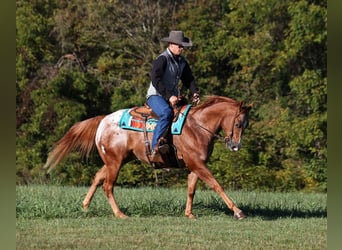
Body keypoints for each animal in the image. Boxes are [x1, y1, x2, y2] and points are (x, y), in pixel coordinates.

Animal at [43, 94, 251, 220]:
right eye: (238, 124)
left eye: (246, 125)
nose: (235, 146)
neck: (196, 126)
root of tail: (104, 120)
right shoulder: (197, 164)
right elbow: (216, 185)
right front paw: (238, 211)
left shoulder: (195, 166)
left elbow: (191, 190)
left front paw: (189, 214)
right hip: (115, 162)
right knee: (107, 186)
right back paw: (119, 214)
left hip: (116, 161)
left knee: (97, 178)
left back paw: (85, 206)